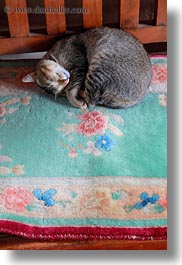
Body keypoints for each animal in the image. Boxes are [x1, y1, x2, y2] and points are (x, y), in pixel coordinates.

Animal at [22, 27, 151, 109]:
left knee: (91, 101)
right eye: (60, 90)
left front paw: (76, 101)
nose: (65, 80)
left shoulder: (79, 65)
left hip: (98, 66)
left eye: (51, 78)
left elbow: (71, 91)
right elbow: (71, 90)